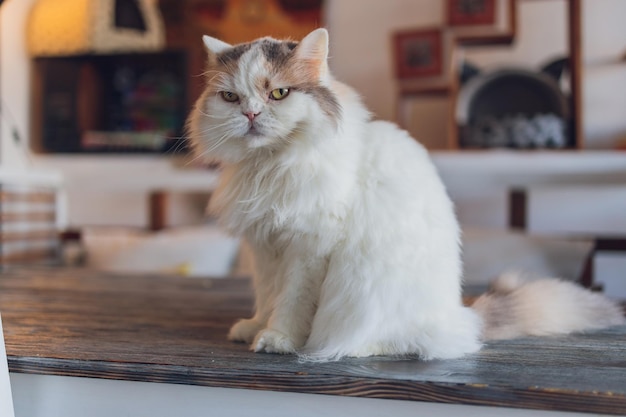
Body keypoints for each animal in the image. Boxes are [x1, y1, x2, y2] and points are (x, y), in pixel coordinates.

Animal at [188, 30, 620, 360]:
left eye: (278, 93)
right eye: (231, 98)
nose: (251, 115)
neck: (268, 166)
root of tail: (464, 315)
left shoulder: (306, 250)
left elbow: (290, 303)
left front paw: (278, 339)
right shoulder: (265, 247)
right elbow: (267, 297)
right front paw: (254, 328)